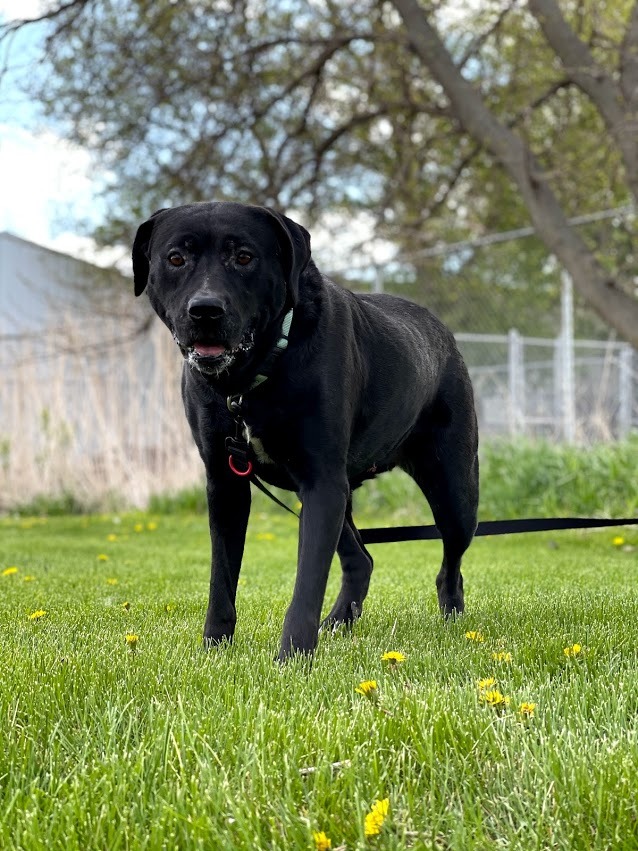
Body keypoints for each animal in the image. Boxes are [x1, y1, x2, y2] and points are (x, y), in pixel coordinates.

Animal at [131, 203, 480, 664]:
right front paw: (215, 648)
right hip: (342, 494)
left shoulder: (321, 482)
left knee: (450, 563)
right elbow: (221, 578)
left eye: (244, 257)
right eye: (175, 258)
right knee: (361, 559)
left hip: (454, 492)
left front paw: (291, 658)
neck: (252, 378)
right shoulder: (226, 483)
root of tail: (444, 333)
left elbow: (307, 581)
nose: (205, 310)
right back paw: (338, 622)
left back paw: (452, 619)